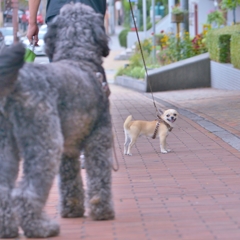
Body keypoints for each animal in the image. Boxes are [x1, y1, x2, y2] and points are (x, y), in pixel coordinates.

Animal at [0, 2, 115, 238]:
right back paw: (41, 228)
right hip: (45, 144)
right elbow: (99, 176)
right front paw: (102, 210)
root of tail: (16, 85)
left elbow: (70, 181)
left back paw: (7, 228)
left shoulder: (68, 149)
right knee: (25, 193)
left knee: (4, 191)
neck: (79, 57)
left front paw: (72, 209)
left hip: (6, 146)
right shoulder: (98, 139)